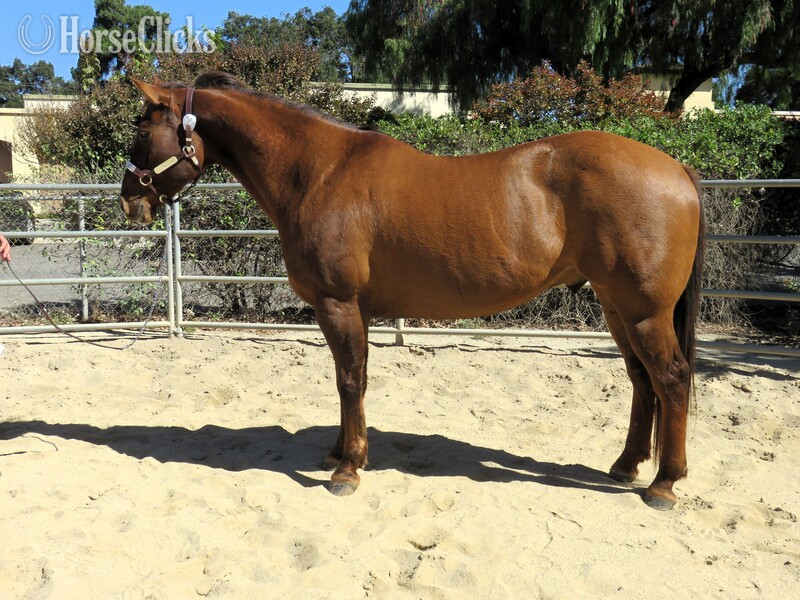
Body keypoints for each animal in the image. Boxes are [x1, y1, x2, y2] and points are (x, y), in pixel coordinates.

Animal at [119, 71, 705, 510]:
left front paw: (348, 470)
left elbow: (350, 382)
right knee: (642, 381)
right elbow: (348, 381)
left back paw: (664, 483)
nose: (129, 202)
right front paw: (338, 453)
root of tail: (677, 167)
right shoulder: (348, 310)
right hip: (616, 307)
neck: (319, 172)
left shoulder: (338, 304)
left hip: (644, 311)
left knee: (672, 379)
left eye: (142, 133)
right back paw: (625, 466)